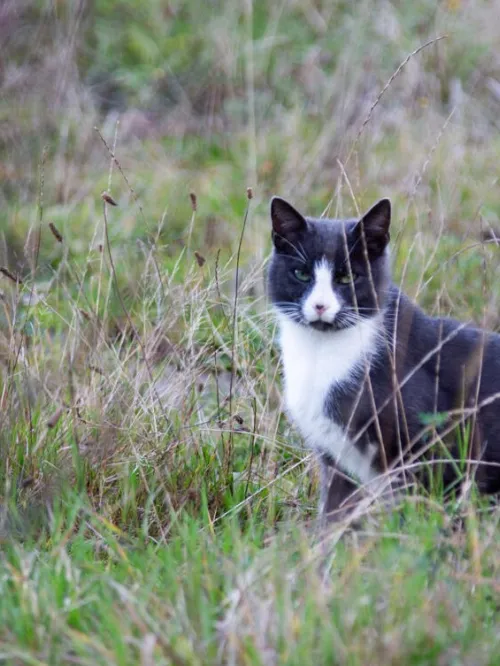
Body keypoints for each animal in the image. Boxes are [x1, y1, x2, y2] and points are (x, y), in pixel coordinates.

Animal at [268, 195, 500, 520]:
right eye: (301, 274)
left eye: (348, 277)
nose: (320, 305)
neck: (322, 353)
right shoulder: (336, 460)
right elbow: (333, 514)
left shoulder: (421, 445)